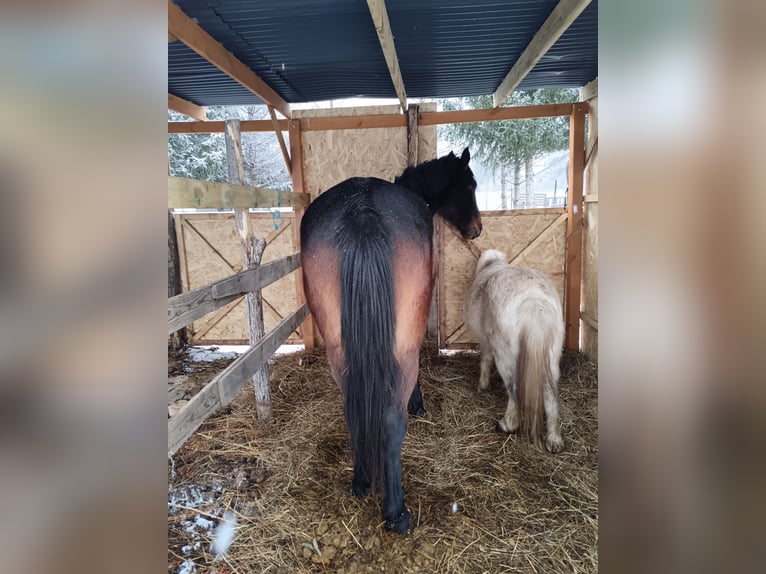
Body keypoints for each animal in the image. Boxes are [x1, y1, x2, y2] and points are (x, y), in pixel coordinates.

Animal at [298, 150, 480, 536]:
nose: (476, 229)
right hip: (401, 349)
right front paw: (418, 403)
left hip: (340, 353)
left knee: (353, 410)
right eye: (470, 185)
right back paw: (396, 511)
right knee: (393, 421)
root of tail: (361, 212)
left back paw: (362, 481)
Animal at [462, 250, 564, 452]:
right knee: (550, 393)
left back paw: (507, 425)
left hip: (506, 357)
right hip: (551, 358)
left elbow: (485, 361)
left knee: (514, 389)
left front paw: (482, 385)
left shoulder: (486, 343)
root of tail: (534, 300)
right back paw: (554, 440)